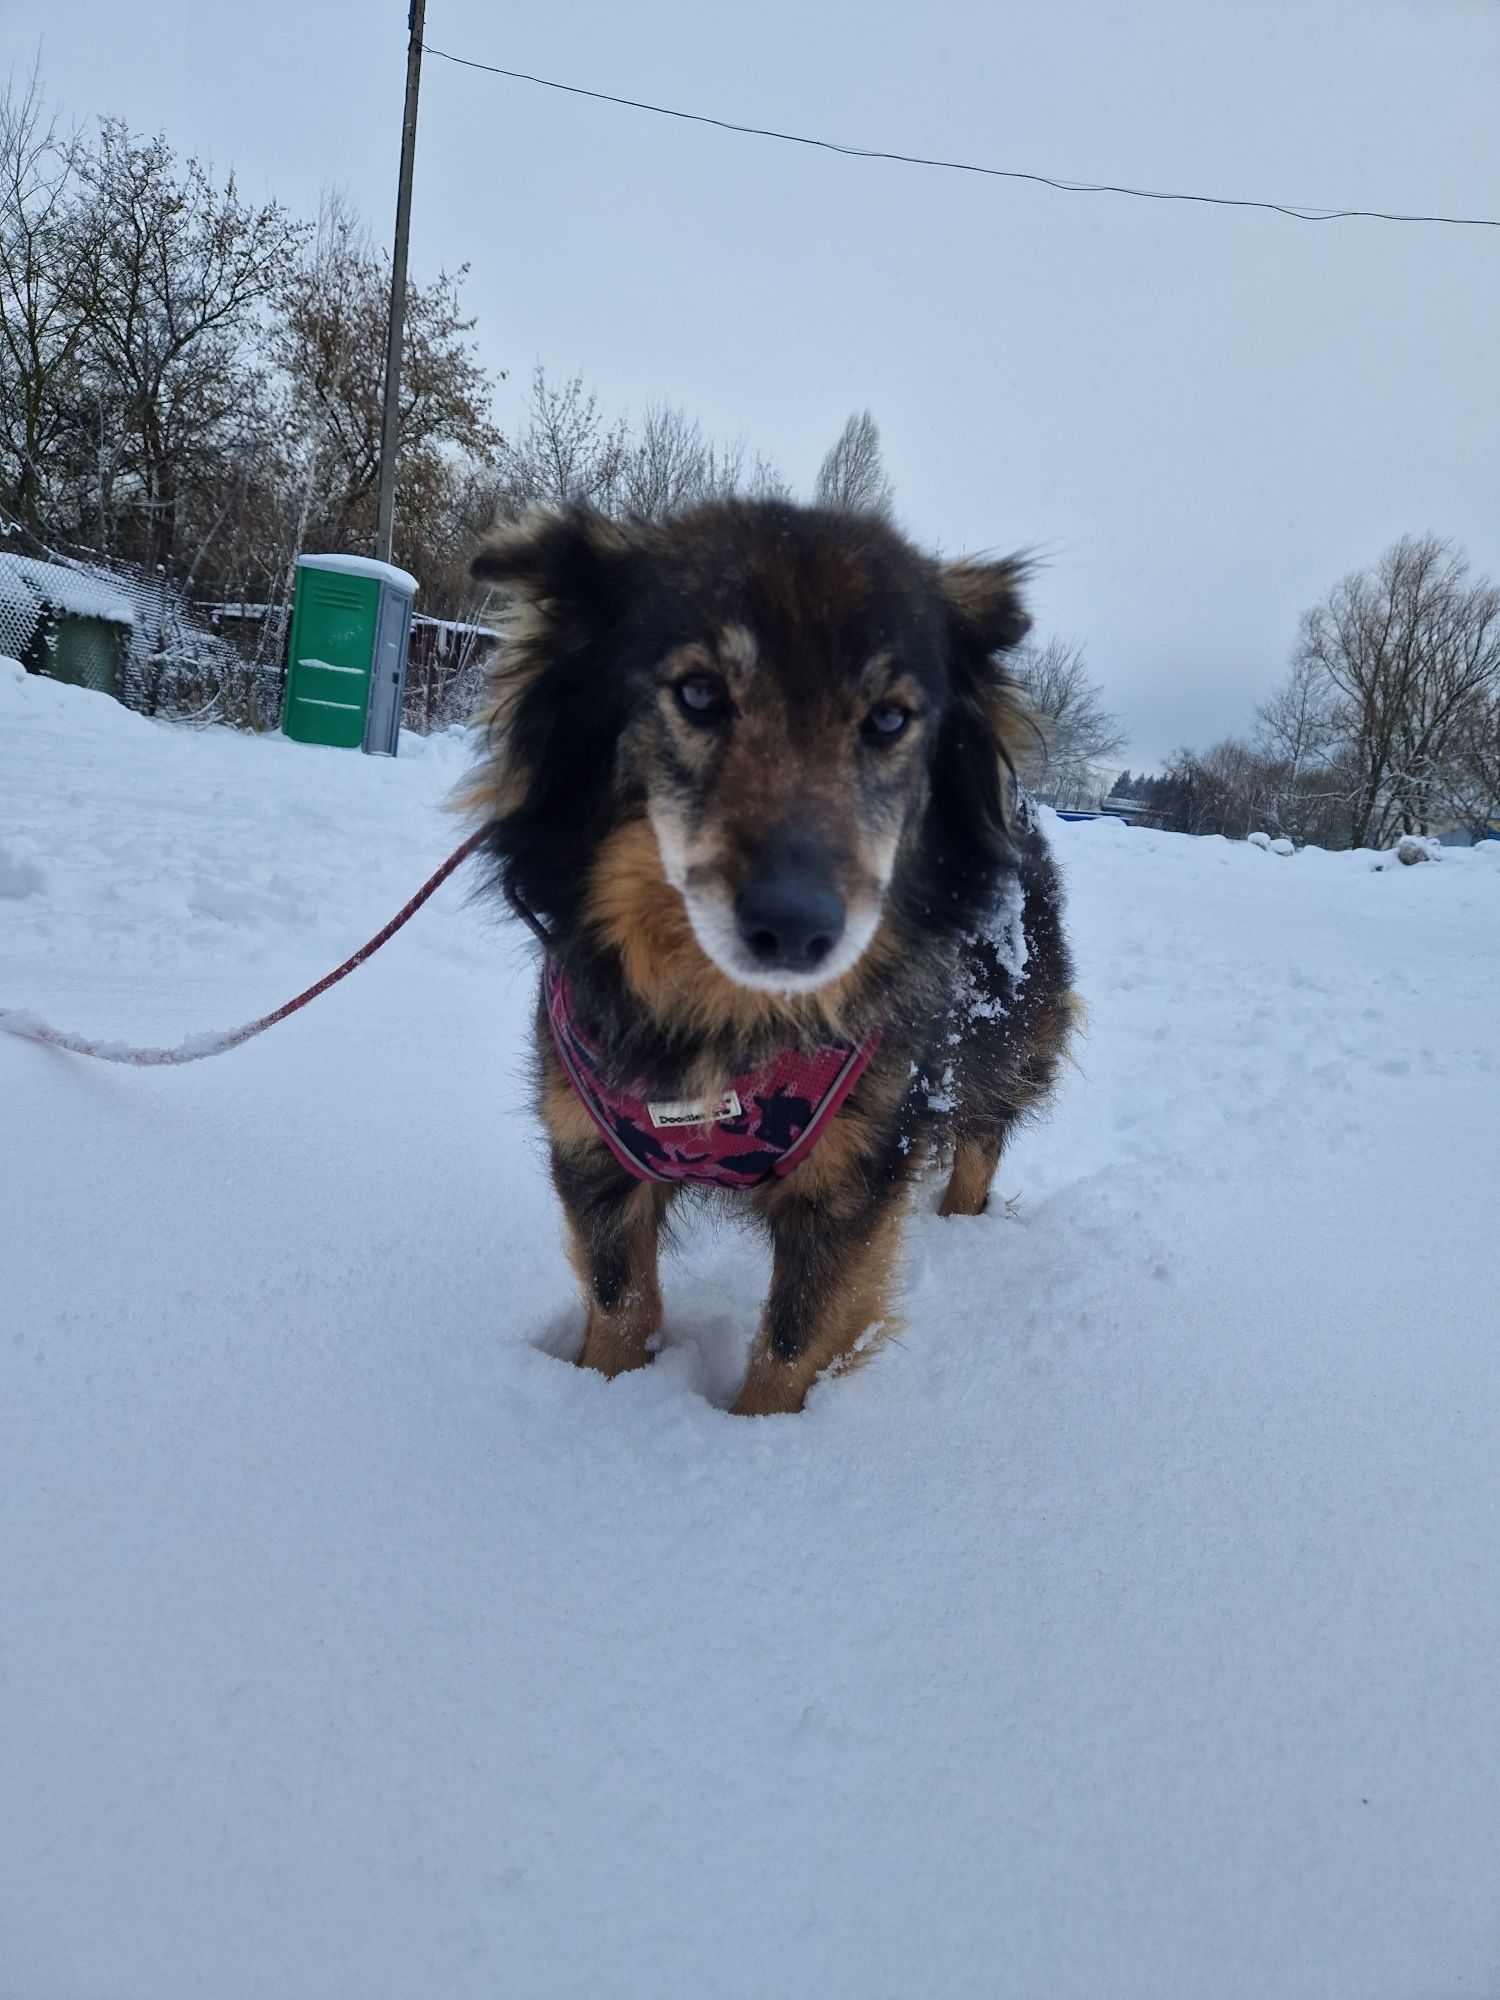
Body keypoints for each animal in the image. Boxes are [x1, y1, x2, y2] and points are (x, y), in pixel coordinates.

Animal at [464, 498, 1072, 1416]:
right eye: (699, 693)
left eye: (888, 719)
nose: (795, 928)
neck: (722, 1020)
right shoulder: (590, 1151)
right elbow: (620, 1303)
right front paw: (601, 1402)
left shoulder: (851, 1189)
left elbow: (791, 1348)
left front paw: (757, 1444)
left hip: (1002, 1049)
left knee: (982, 1138)